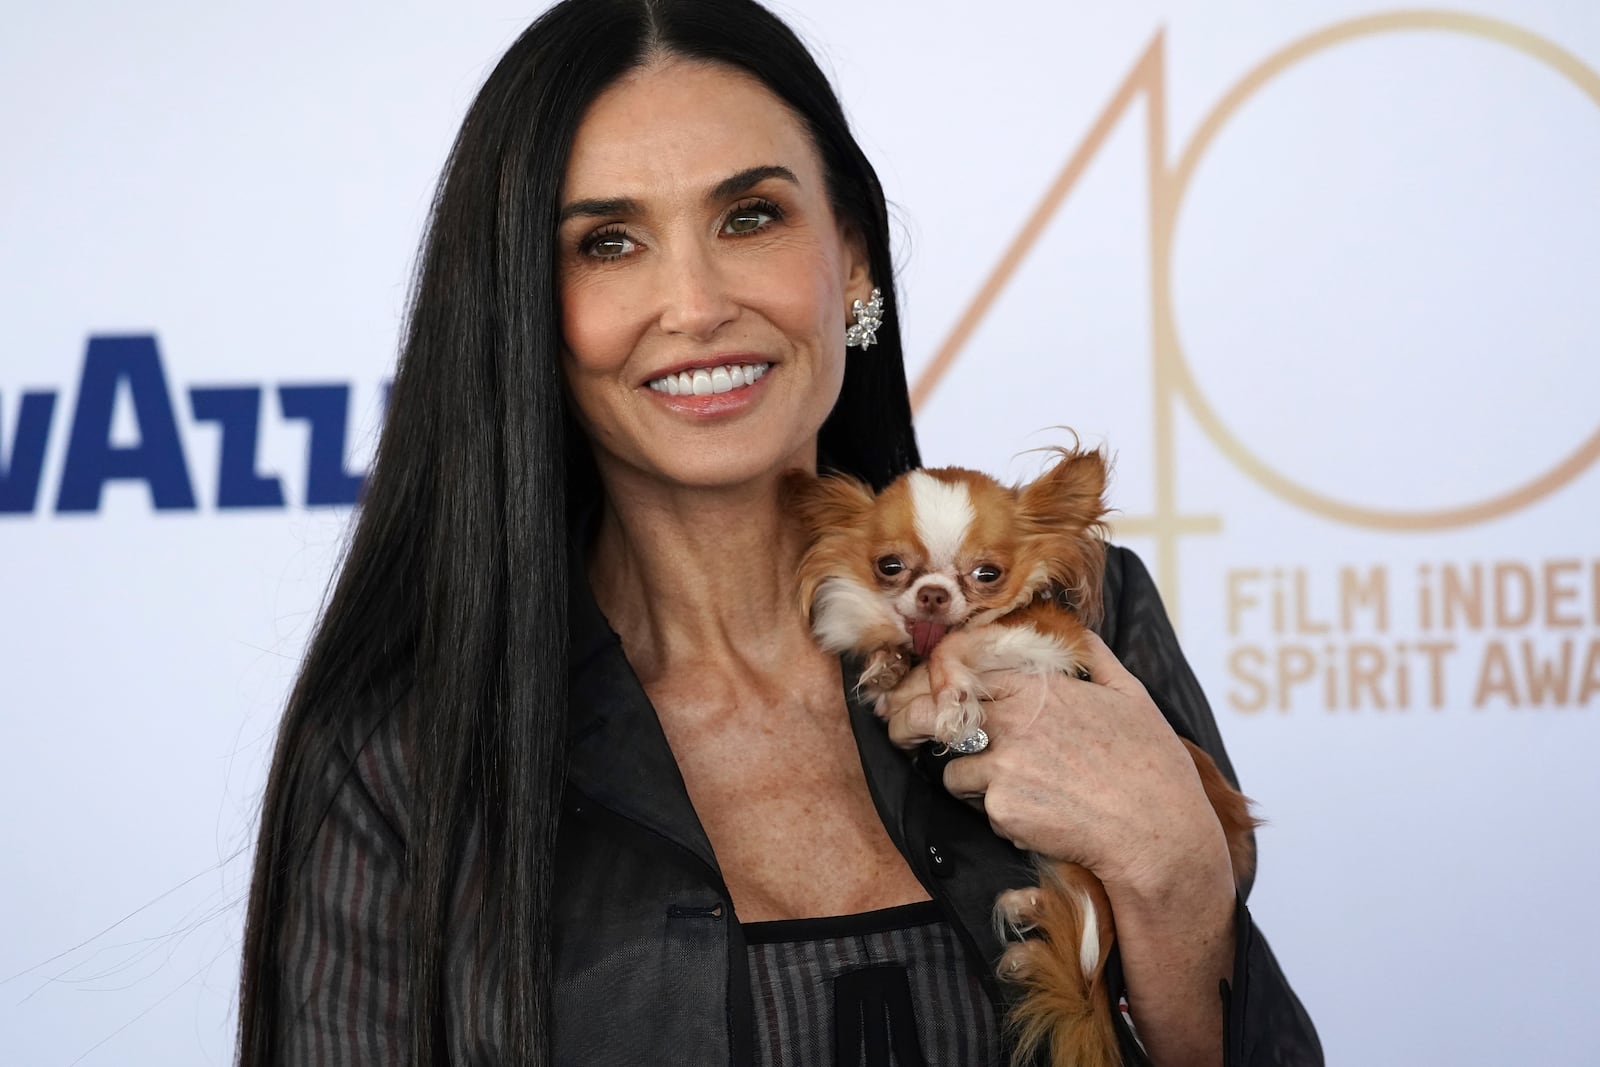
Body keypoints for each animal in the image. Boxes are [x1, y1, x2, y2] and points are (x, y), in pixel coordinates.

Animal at [787, 447, 1260, 1067]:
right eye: (890, 566)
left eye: (987, 574)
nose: (934, 594)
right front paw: (888, 664)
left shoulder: (1048, 639)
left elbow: (966, 645)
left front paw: (952, 699)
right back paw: (1027, 911)